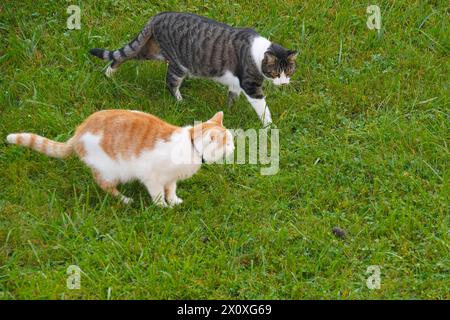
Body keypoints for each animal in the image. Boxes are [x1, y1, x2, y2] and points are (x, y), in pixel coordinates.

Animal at [7, 109, 234, 208]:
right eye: (228, 143)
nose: (233, 147)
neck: (189, 144)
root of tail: (79, 132)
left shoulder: (171, 178)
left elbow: (171, 189)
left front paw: (174, 201)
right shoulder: (152, 177)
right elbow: (158, 194)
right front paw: (163, 207)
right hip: (109, 170)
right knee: (104, 185)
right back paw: (125, 199)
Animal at [89, 11, 298, 126]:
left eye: (288, 72)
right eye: (276, 73)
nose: (284, 83)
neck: (257, 52)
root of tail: (157, 16)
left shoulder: (236, 83)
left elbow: (232, 96)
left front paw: (229, 111)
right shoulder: (251, 85)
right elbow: (263, 107)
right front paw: (269, 126)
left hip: (152, 49)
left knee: (125, 55)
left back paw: (109, 74)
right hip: (178, 63)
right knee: (170, 82)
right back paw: (181, 101)